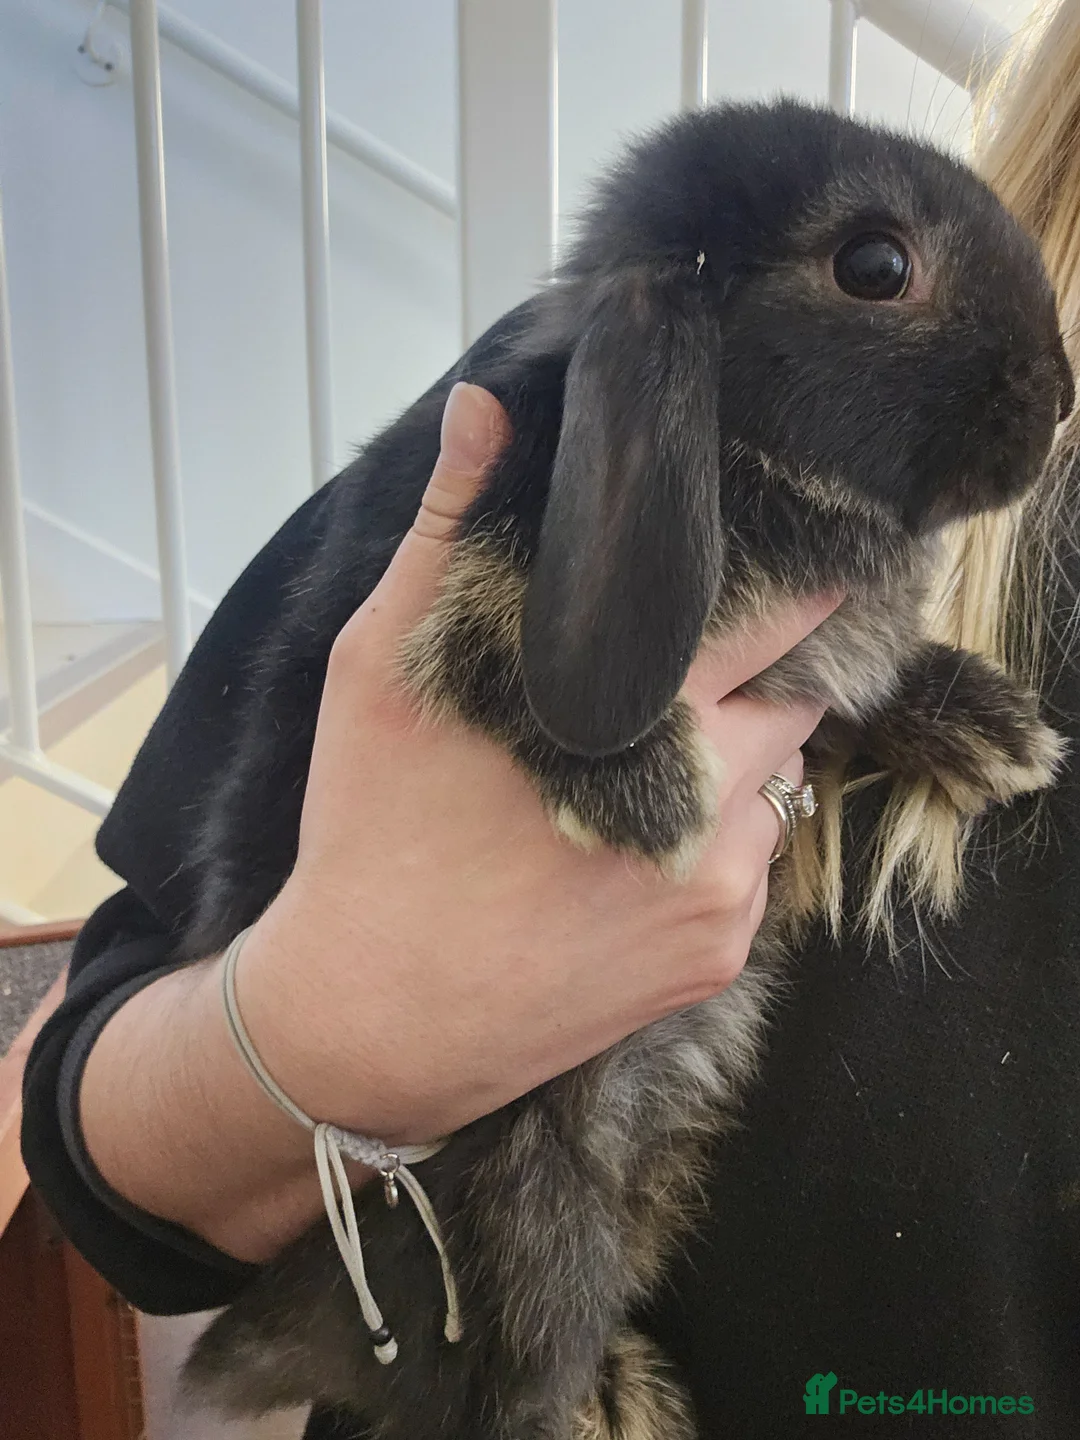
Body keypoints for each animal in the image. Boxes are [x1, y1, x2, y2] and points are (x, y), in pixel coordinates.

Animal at [180, 99, 1073, 1440]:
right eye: (875, 265)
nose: (1063, 395)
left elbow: (846, 700)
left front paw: (991, 727)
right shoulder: (484, 547)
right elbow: (484, 627)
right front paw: (649, 794)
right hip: (534, 1192)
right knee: (506, 1369)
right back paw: (609, 1398)